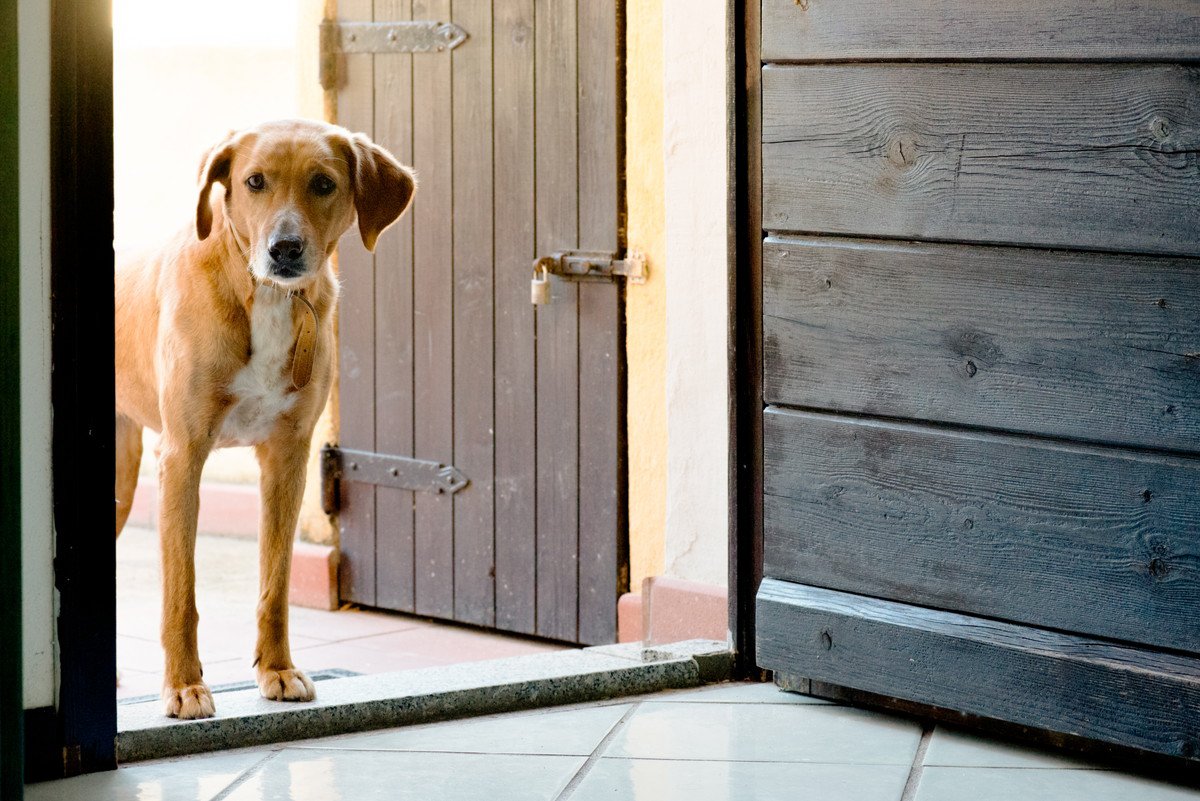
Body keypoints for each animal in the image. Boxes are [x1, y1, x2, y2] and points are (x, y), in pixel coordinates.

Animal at [115, 118, 417, 719]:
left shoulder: (288, 458)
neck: (267, 295)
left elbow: (275, 584)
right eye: (254, 181)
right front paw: (183, 685)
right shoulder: (182, 456)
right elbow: (180, 594)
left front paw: (276, 669)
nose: (285, 249)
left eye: (323, 184)